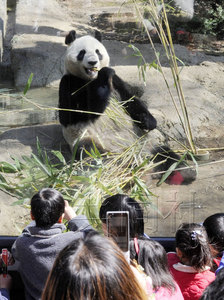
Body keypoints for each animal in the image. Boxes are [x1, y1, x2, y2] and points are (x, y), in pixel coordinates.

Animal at [58, 30, 196, 185]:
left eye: (98, 52)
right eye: (82, 53)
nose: (93, 62)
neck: (90, 79)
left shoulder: (116, 82)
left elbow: (130, 100)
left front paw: (149, 121)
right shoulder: (69, 82)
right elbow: (72, 114)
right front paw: (103, 76)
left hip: (144, 143)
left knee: (163, 151)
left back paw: (184, 170)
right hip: (90, 139)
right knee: (89, 150)